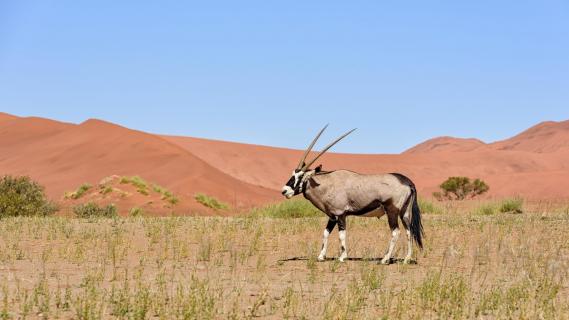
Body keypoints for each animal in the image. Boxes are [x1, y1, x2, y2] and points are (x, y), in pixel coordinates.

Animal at [282, 126, 424, 264]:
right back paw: (407, 259)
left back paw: (385, 259)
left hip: (392, 211)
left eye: (301, 176)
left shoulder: (340, 214)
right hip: (404, 212)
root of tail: (407, 182)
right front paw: (321, 256)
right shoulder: (332, 216)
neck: (327, 184)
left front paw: (342, 257)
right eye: (293, 173)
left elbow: (341, 235)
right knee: (409, 231)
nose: (284, 191)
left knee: (396, 232)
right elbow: (325, 233)